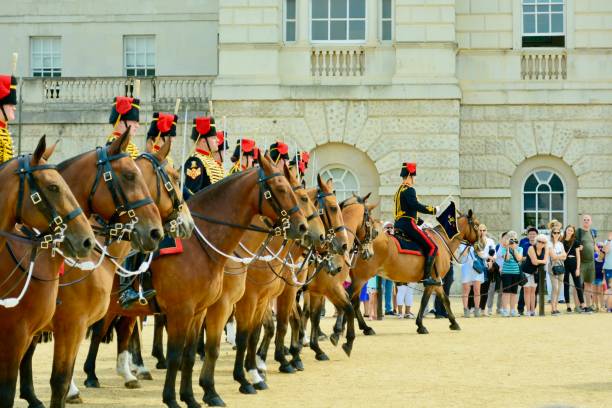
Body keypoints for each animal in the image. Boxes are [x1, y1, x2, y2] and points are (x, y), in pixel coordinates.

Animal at [346, 207, 480, 334]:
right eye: (477, 225)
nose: (481, 245)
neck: (443, 241)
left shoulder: (437, 281)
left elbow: (445, 300)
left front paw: (453, 323)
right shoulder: (433, 281)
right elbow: (424, 301)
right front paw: (421, 325)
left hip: (358, 279)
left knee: (354, 302)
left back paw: (365, 328)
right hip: (361, 278)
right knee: (349, 297)